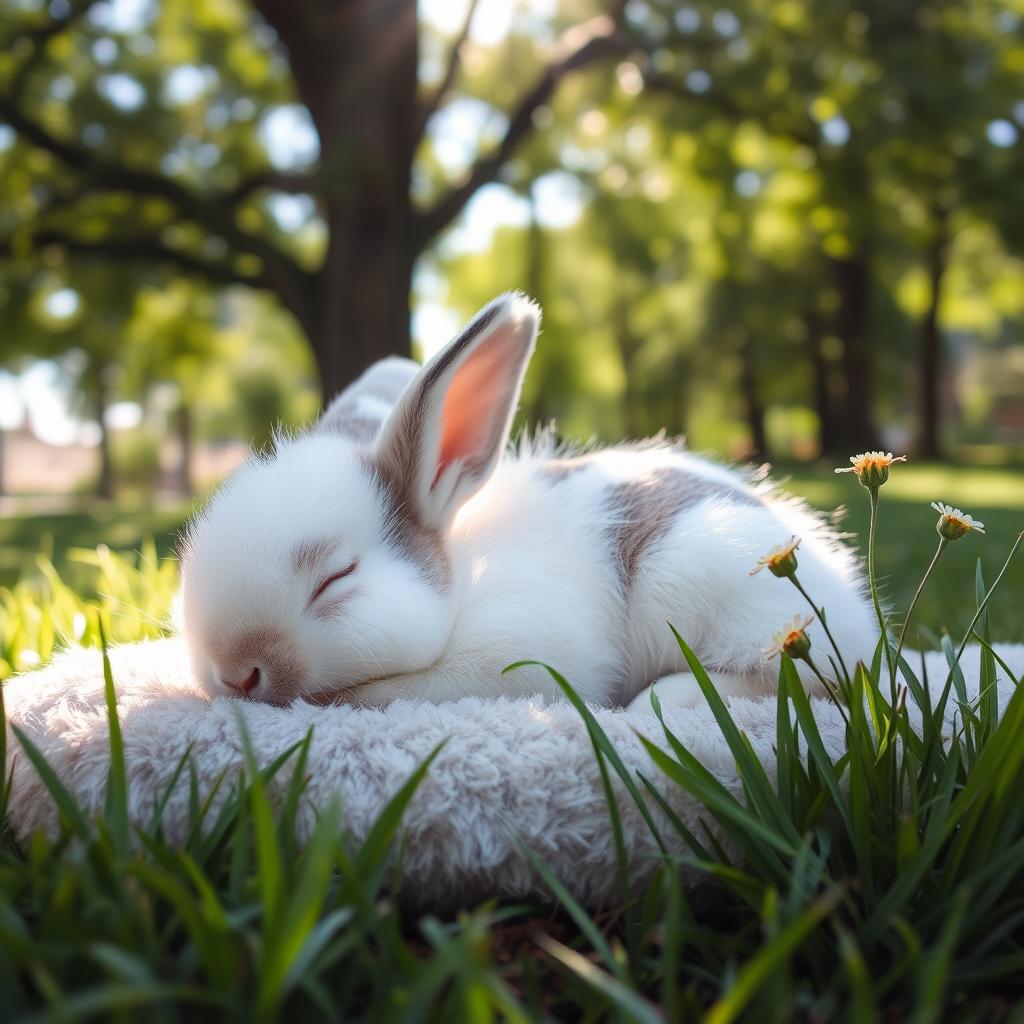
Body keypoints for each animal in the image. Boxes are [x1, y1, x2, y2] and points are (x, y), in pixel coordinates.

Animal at [179, 292, 878, 709]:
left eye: (336, 578)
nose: (236, 674)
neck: (462, 590)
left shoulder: (518, 657)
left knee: (806, 680)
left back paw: (663, 700)